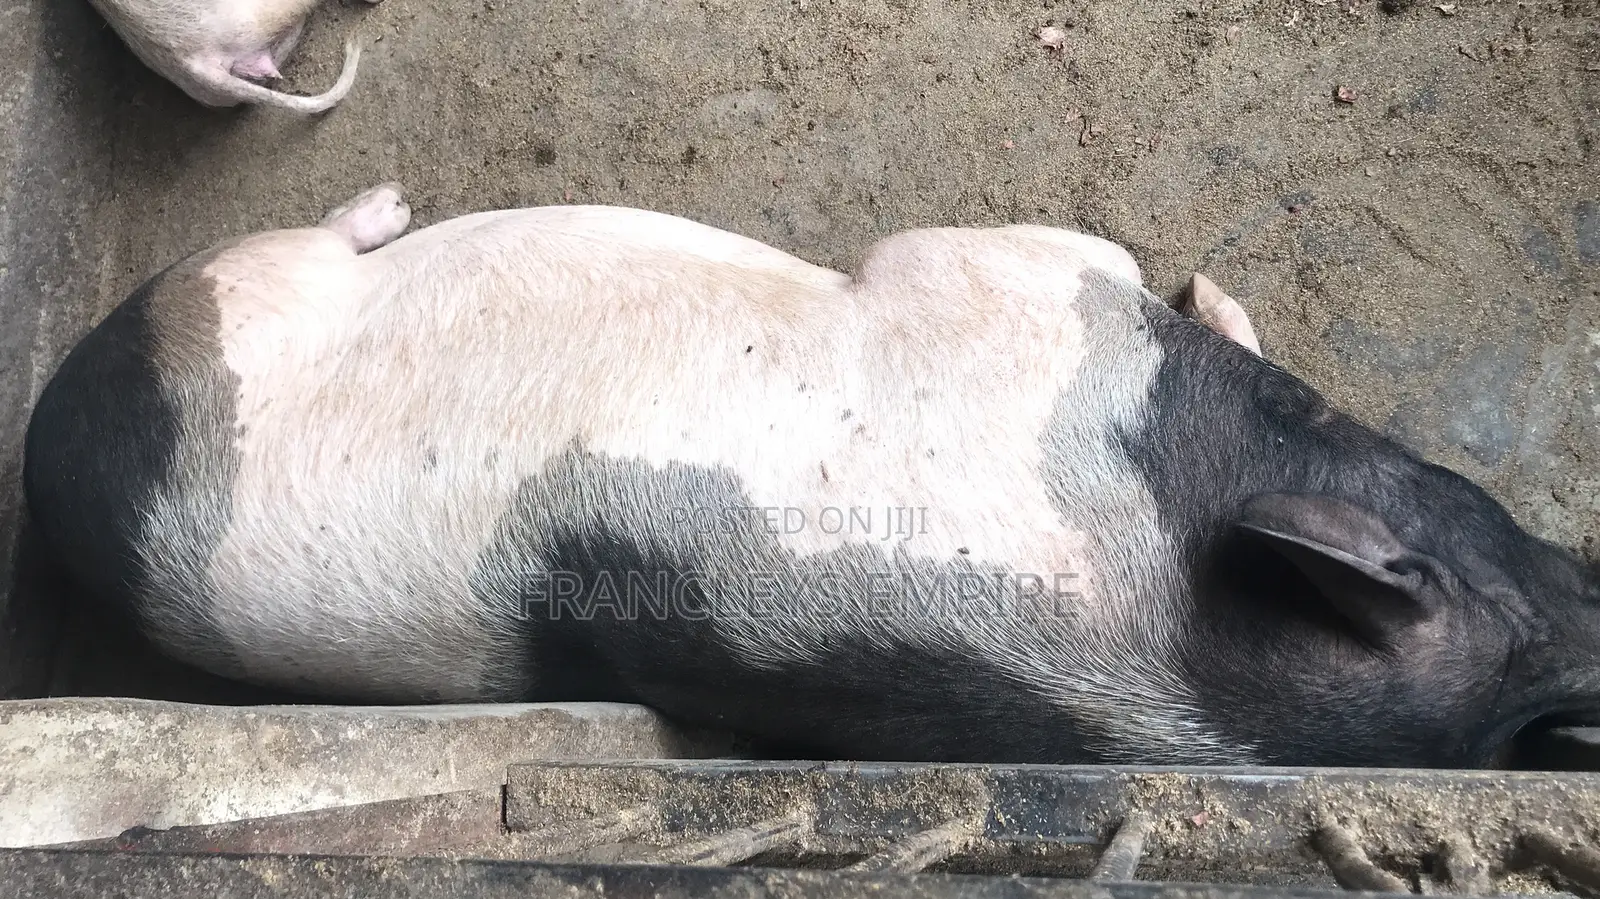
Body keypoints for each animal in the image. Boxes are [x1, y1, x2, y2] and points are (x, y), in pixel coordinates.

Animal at [24, 182, 1600, 768]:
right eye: (1495, 525)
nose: (1592, 595)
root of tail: (47, 473)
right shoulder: (1021, 276)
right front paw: (1212, 285)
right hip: (222, 289)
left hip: (229, 288)